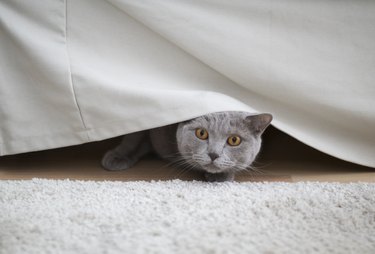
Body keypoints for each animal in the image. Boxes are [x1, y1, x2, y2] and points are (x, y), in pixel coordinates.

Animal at [102, 111, 274, 181]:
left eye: (234, 140)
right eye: (201, 133)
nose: (213, 154)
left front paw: (221, 176)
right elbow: (134, 136)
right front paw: (117, 157)